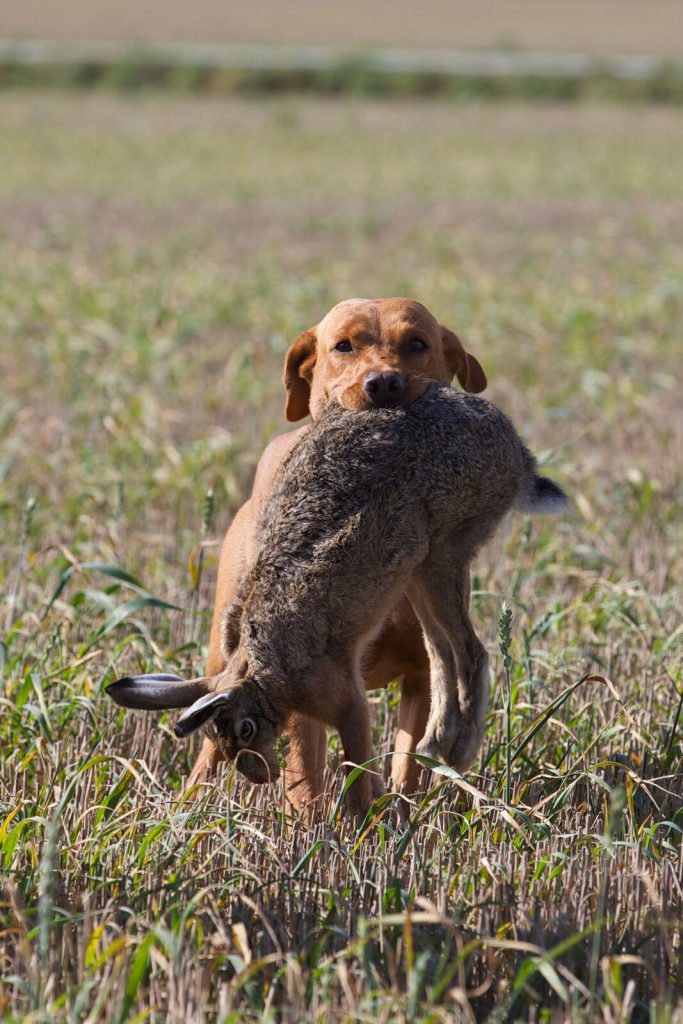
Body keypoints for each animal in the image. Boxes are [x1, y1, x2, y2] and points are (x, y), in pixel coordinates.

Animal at [107, 385, 565, 815]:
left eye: (245, 729)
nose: (260, 775)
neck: (262, 674)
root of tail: (516, 454)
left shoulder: (345, 700)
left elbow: (356, 765)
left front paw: (368, 824)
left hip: (443, 552)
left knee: (470, 651)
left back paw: (458, 750)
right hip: (417, 572)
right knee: (442, 650)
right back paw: (437, 742)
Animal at [187, 299, 485, 811]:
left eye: (418, 344)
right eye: (343, 345)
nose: (383, 383)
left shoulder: (422, 676)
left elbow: (406, 766)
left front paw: (397, 816)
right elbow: (306, 779)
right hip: (219, 656)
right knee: (208, 751)